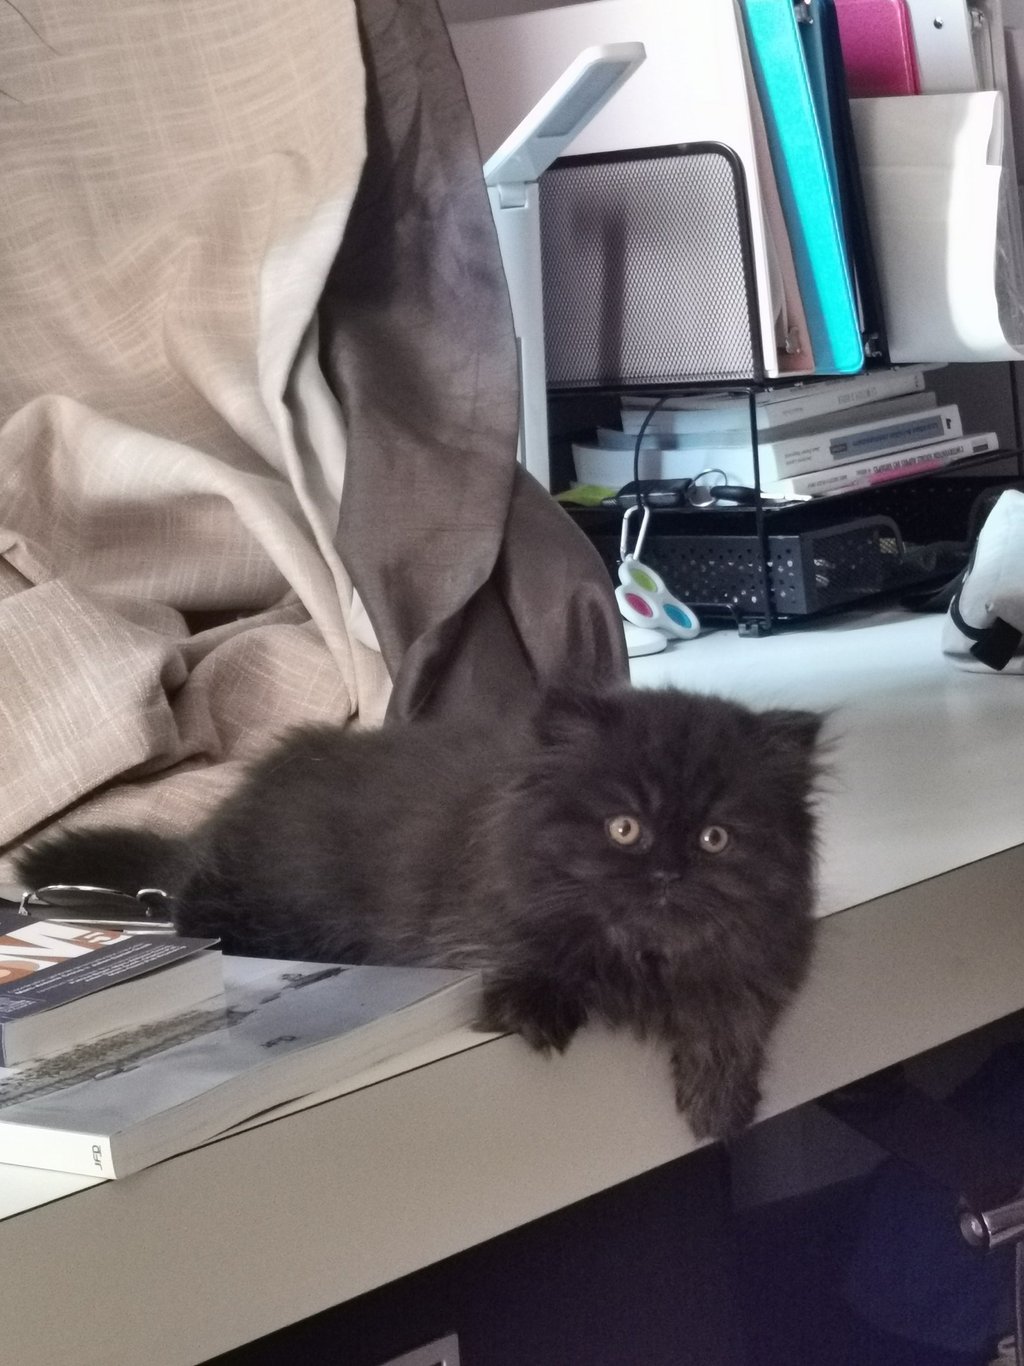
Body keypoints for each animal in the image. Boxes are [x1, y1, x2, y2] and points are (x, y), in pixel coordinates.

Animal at [16, 685, 824, 1141]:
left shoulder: (762, 956)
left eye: (716, 839)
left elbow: (730, 1015)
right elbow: (524, 961)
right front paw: (535, 1007)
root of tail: (216, 825)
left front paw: (719, 1101)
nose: (667, 873)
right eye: (624, 829)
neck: (640, 963)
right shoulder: (476, 922)